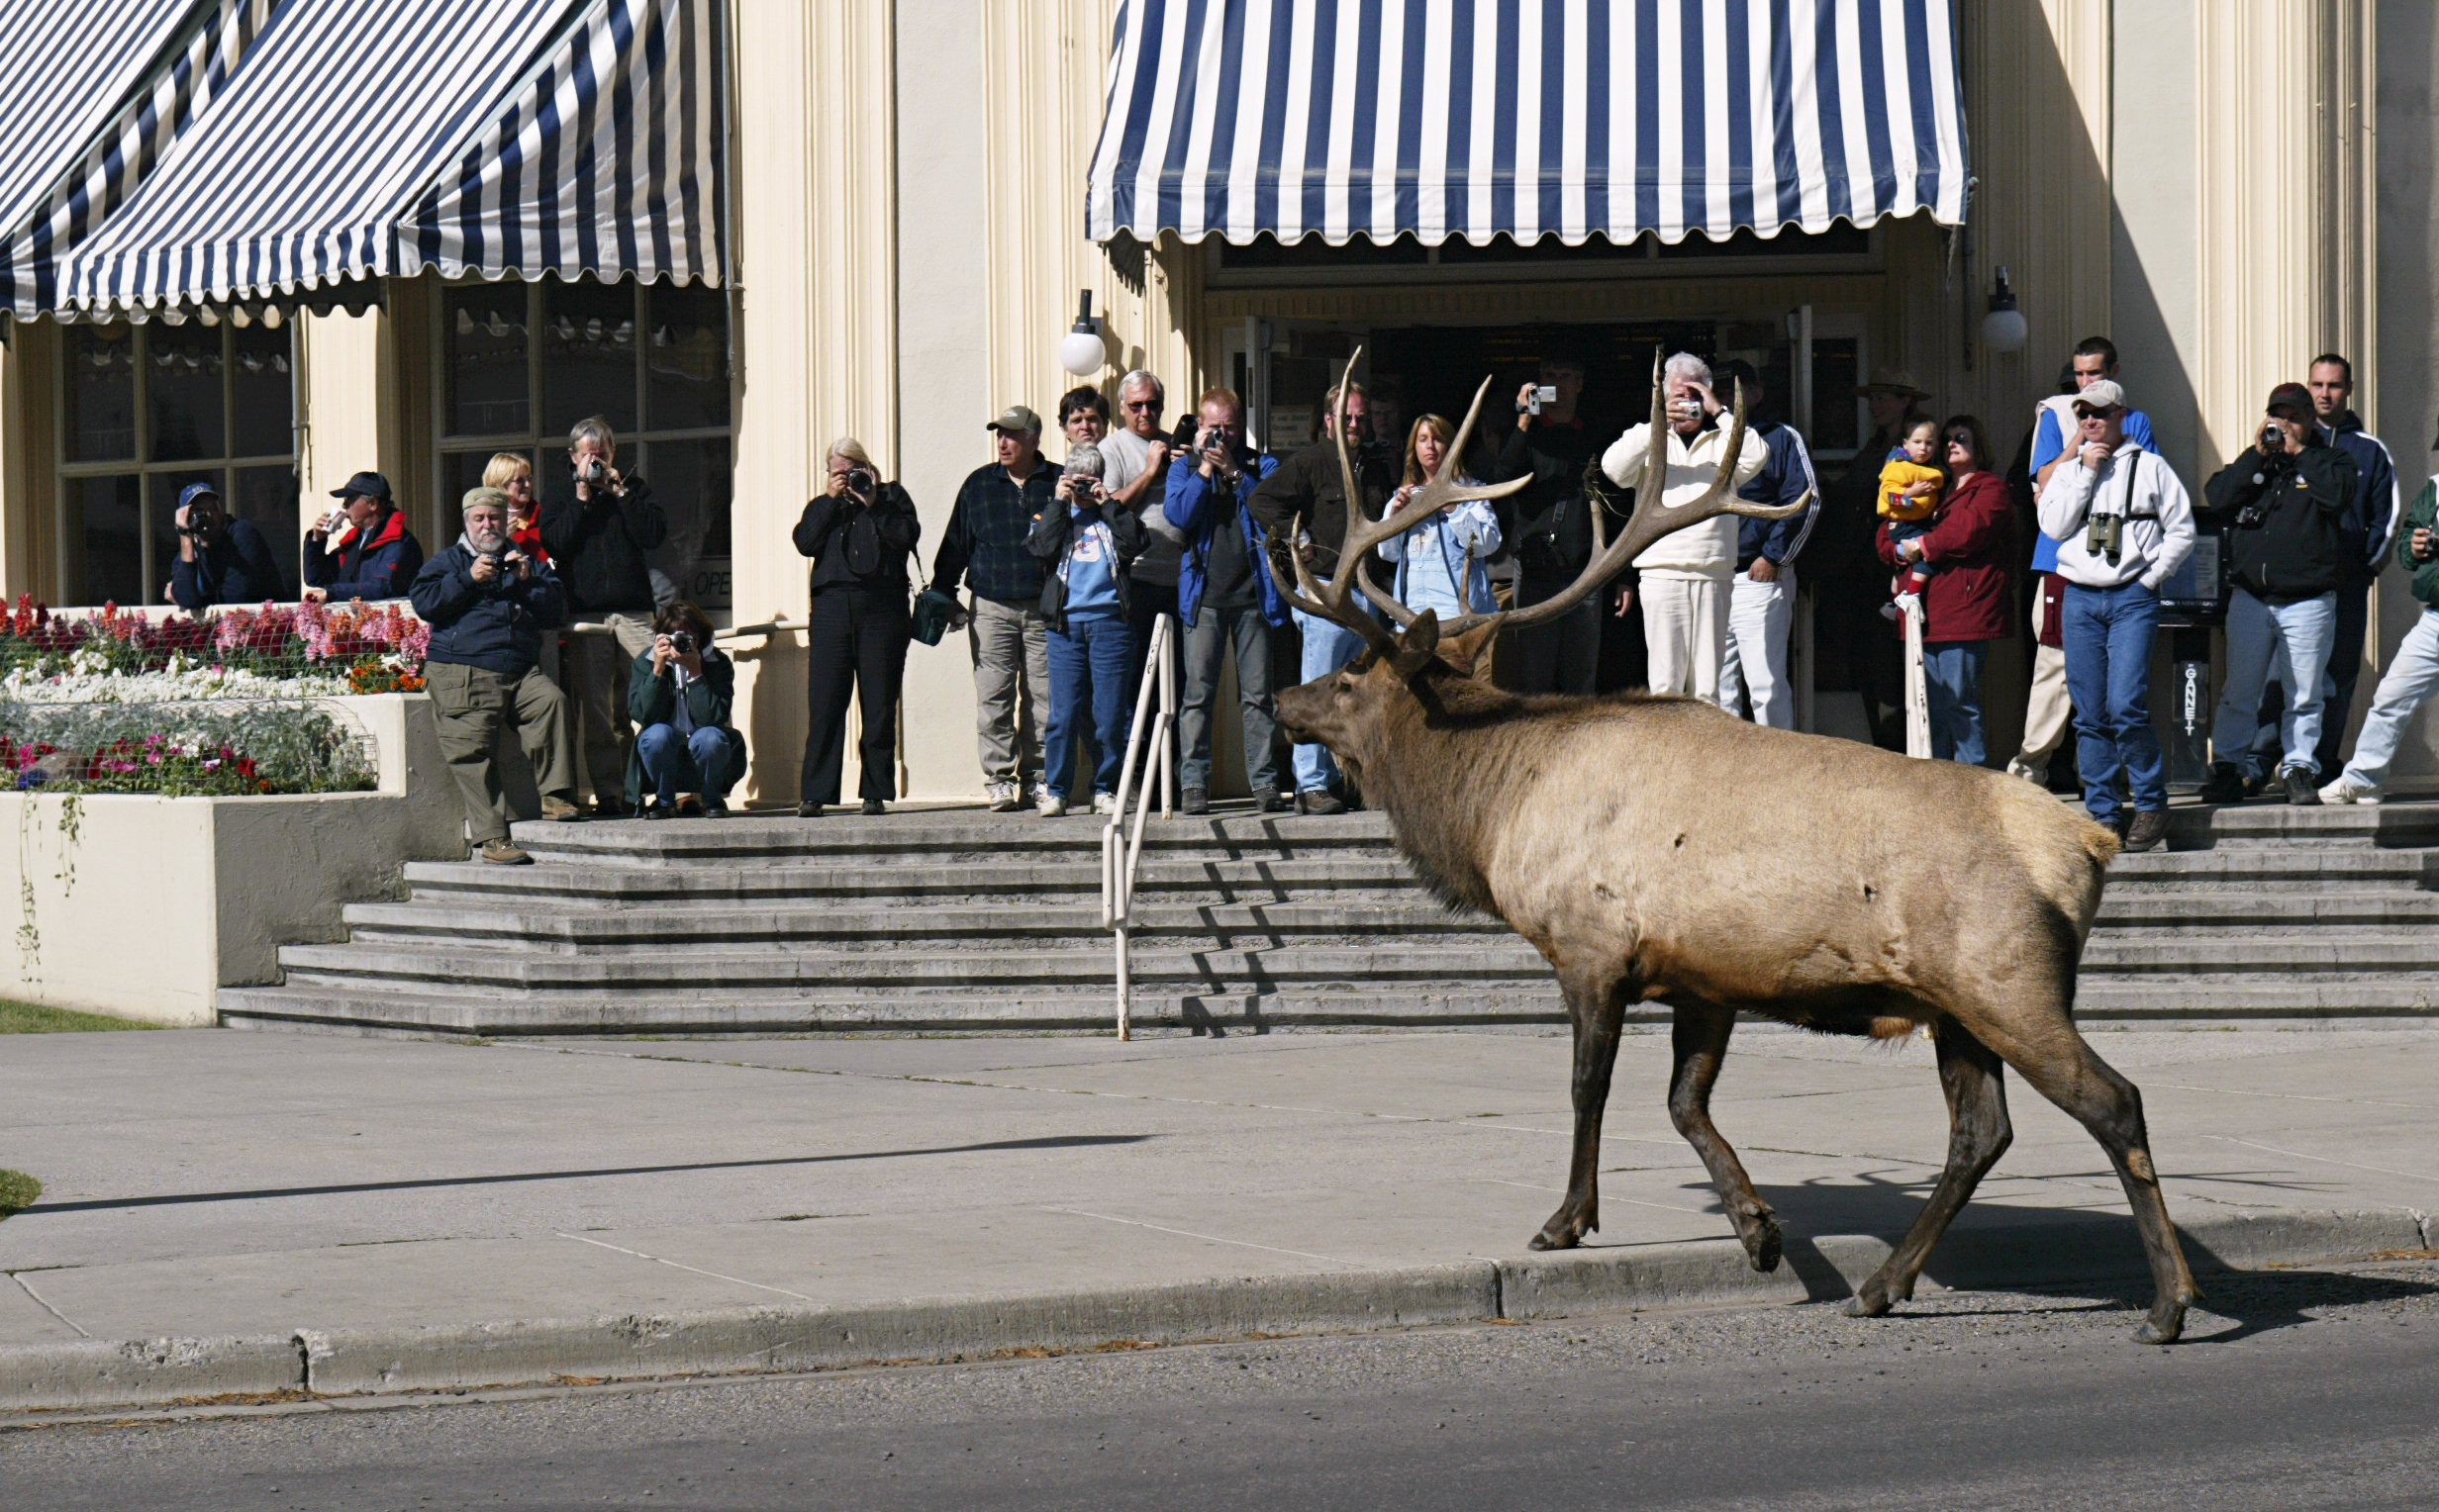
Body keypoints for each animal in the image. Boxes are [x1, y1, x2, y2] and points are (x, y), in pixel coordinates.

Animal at [1264, 352, 2201, 1344]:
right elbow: (1685, 1105)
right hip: (1955, 1007)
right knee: (1981, 1133)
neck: (1494, 809)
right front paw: (1758, 1230)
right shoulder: (1703, 977)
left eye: (1351, 675)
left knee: (2113, 1102)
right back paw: (1883, 1285)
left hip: (2006, 981)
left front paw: (1567, 1221)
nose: (1284, 699)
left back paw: (2168, 1302)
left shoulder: (1590, 948)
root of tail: (2089, 844)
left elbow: (1588, 1089)